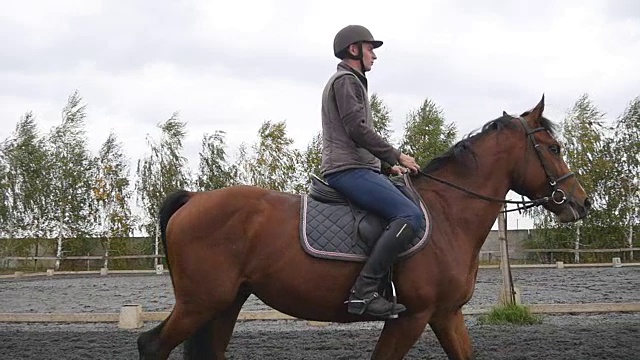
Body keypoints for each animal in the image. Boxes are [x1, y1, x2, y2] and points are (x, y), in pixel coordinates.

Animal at [139, 96, 592, 360]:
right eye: (554, 148)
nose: (581, 202)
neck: (448, 215)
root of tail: (194, 198)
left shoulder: (446, 314)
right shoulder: (411, 316)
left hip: (225, 303)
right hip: (199, 302)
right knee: (152, 345)